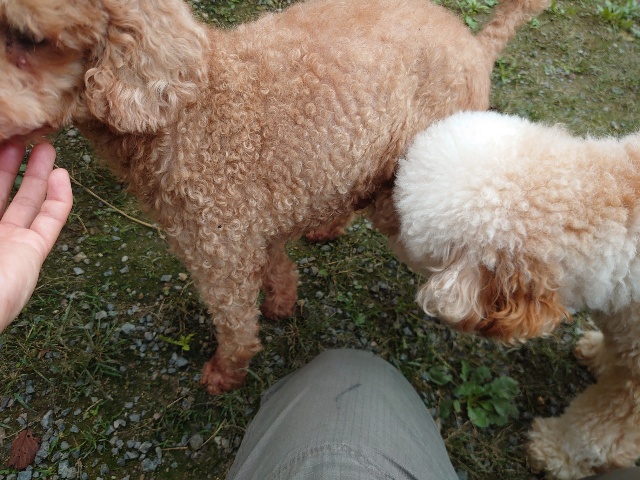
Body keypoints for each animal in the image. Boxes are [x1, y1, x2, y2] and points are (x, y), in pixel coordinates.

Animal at [0, 0, 547, 394]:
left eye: (30, 38)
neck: (184, 111)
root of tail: (476, 44)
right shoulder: (252, 221)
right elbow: (277, 265)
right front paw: (283, 302)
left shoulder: (218, 248)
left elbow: (236, 322)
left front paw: (225, 374)